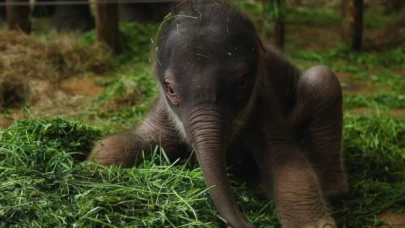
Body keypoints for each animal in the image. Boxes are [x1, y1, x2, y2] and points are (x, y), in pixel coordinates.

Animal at [87, 0, 348, 227]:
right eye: (171, 89)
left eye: (242, 82)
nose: (248, 222)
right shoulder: (162, 108)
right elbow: (126, 143)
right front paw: (92, 164)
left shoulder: (264, 98)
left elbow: (288, 164)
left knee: (322, 79)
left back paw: (331, 190)